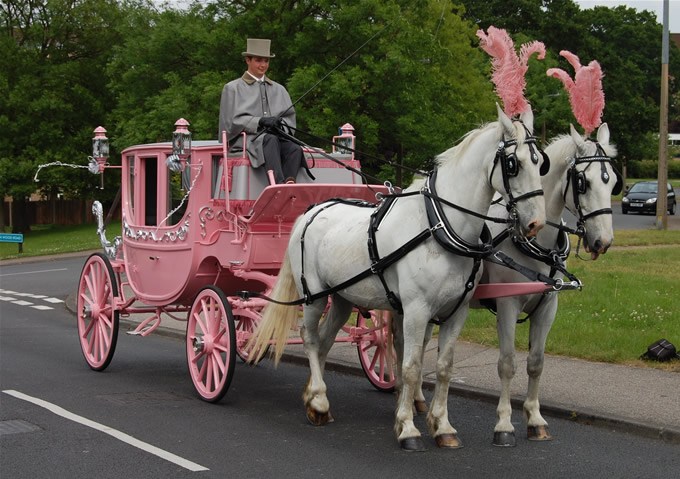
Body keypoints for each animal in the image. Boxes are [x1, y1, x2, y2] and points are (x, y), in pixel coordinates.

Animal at [248, 104, 548, 450]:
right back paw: (320, 401)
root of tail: (310, 211)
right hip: (314, 295)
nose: (536, 224)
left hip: (342, 298)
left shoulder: (457, 311)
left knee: (324, 341)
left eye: (540, 161)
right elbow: (411, 365)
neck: (439, 225)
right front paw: (407, 428)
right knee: (310, 338)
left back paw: (313, 395)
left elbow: (443, 367)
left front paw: (443, 426)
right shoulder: (417, 309)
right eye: (513, 164)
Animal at [410, 122, 620, 448]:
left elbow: (536, 362)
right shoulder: (508, 304)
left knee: (422, 346)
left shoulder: (548, 306)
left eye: (613, 183)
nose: (603, 241)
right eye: (583, 182)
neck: (535, 243)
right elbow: (507, 364)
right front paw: (504, 425)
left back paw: (420, 400)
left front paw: (535, 420)